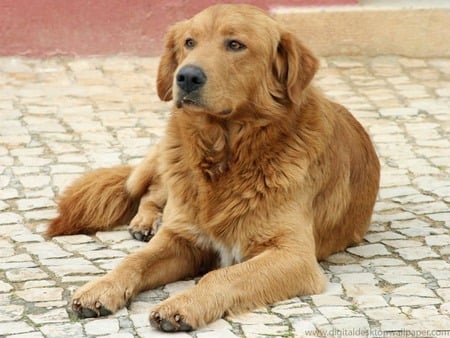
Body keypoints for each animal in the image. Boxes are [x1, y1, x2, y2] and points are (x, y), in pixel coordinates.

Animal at [47, 3, 380, 332]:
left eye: (235, 45)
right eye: (189, 43)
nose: (186, 76)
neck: (225, 154)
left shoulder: (293, 255)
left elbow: (221, 275)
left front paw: (183, 305)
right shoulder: (181, 239)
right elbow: (134, 261)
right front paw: (101, 287)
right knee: (150, 191)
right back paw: (146, 221)